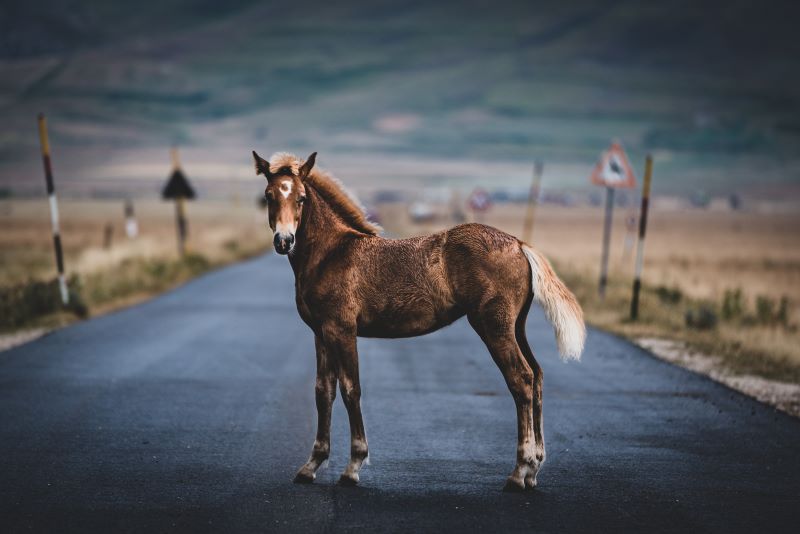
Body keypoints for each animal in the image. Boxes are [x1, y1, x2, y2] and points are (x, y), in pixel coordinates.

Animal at [253, 151, 584, 494]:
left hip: (493, 325)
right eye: (269, 196)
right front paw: (311, 465)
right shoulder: (320, 332)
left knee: (521, 378)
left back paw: (520, 471)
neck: (331, 253)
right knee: (537, 374)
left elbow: (350, 389)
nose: (284, 240)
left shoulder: (342, 329)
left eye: (302, 198)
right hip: (516, 326)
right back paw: (534, 469)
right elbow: (323, 391)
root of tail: (519, 244)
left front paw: (353, 466)